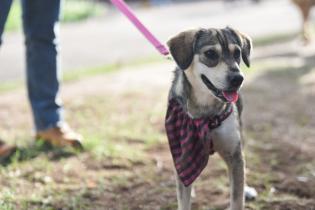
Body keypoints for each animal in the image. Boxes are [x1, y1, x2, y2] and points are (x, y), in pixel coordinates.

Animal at [165, 27, 254, 209]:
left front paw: (242, 193)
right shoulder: (183, 153)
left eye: (237, 53)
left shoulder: (234, 155)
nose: (238, 79)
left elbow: (237, 197)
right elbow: (183, 200)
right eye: (211, 53)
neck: (206, 112)